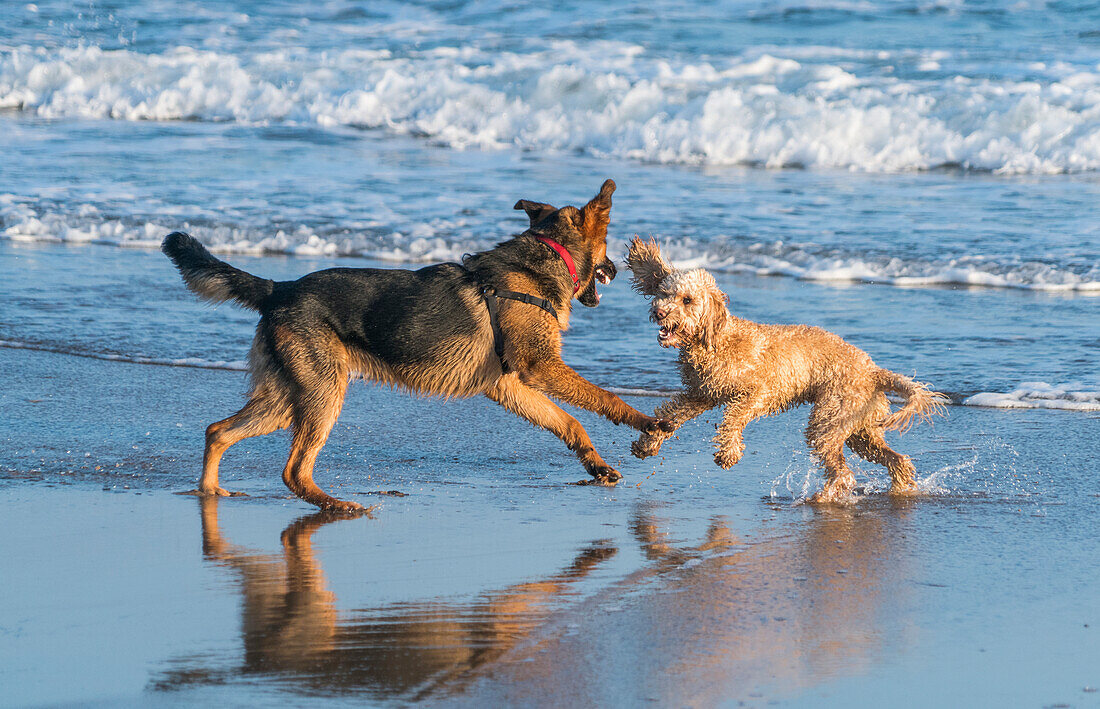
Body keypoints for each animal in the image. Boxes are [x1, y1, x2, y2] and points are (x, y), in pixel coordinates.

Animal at [165, 176, 668, 507]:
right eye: (609, 249)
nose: (618, 270)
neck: (544, 257)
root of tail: (279, 288)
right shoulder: (539, 368)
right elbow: (603, 398)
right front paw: (648, 422)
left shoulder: (508, 384)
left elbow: (568, 421)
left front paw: (595, 463)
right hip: (323, 394)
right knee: (293, 469)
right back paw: (336, 506)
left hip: (289, 399)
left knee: (218, 431)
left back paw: (210, 491)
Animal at [629, 239, 946, 503]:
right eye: (664, 293)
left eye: (687, 300)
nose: (659, 312)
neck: (718, 339)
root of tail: (874, 372)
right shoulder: (701, 394)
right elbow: (672, 415)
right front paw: (648, 443)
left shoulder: (756, 392)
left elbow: (733, 418)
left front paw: (728, 452)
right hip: (859, 427)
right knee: (897, 460)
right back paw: (898, 489)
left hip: (829, 419)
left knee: (844, 472)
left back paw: (823, 497)